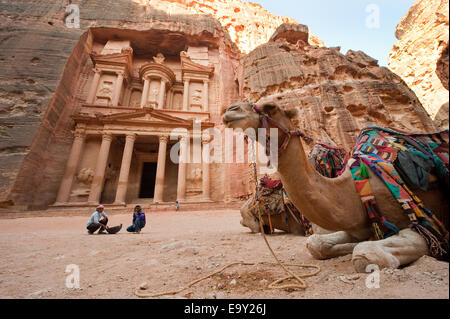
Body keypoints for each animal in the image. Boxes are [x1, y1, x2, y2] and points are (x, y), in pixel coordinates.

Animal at [223, 102, 448, 272]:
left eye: (270, 107)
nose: (230, 110)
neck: (352, 191)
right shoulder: (354, 226)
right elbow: (316, 245)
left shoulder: (427, 227)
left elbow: (364, 255)